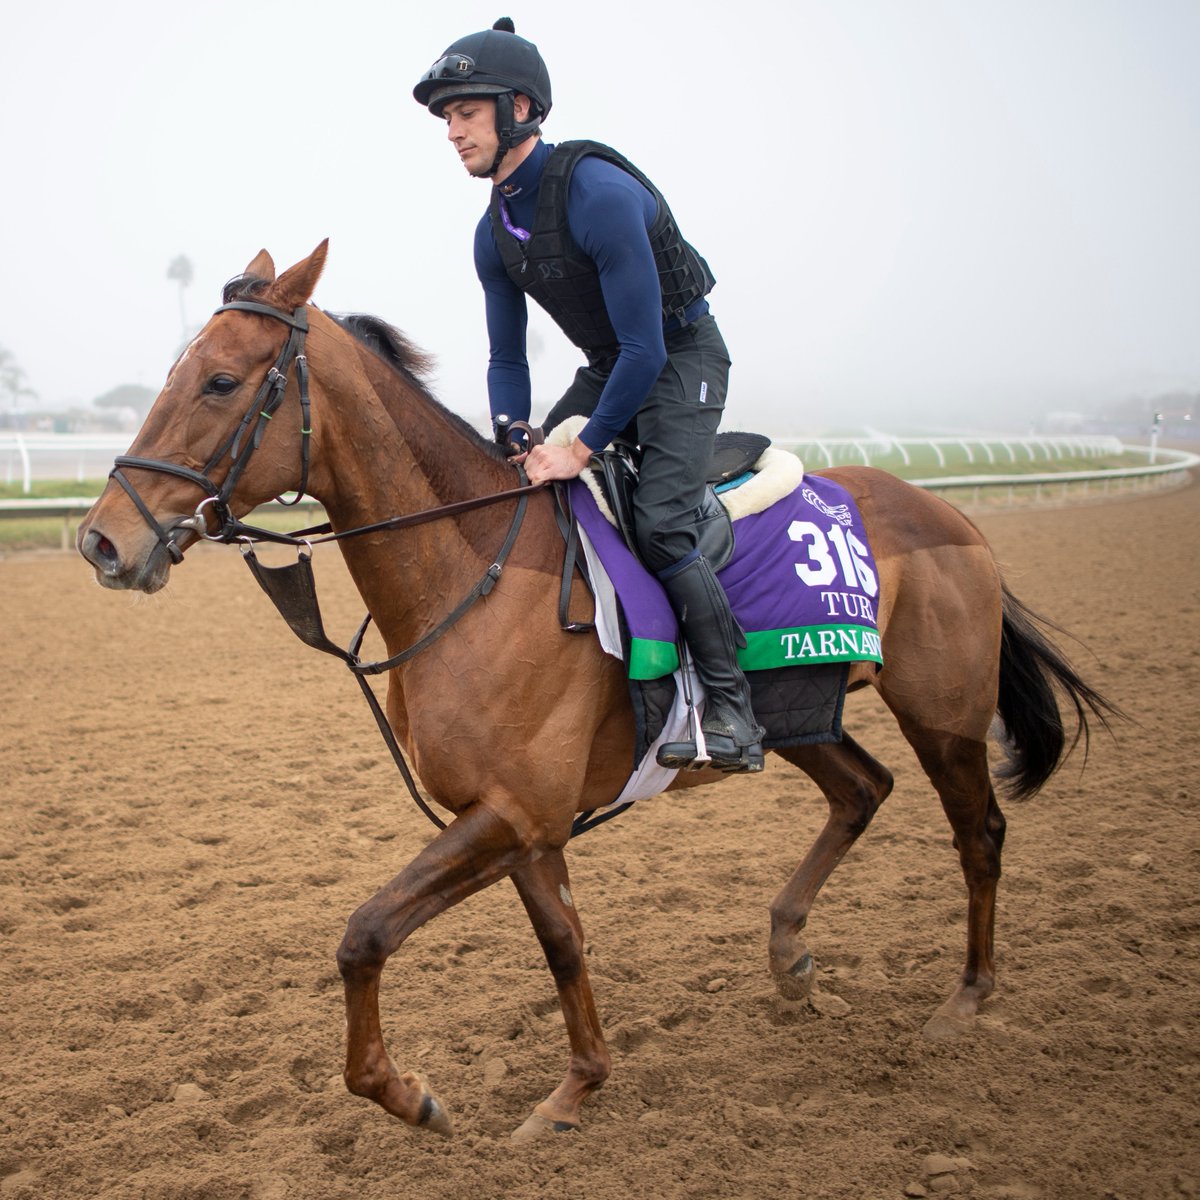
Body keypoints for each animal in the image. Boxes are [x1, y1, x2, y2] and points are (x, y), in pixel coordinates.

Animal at [77, 241, 1116, 1141]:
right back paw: (788, 956)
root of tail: (949, 513)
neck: (475, 572)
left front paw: (413, 1097)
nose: (101, 541)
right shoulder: (521, 824)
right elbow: (563, 944)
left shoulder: (512, 812)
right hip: (801, 714)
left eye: (220, 381)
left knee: (978, 833)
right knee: (865, 790)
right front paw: (574, 1091)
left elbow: (363, 933)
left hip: (942, 716)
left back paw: (966, 999)